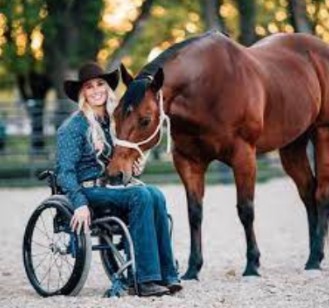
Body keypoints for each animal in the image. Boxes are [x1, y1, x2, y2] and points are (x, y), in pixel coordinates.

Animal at [109, 31, 328, 280]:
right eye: (115, 115)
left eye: (145, 120)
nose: (115, 173)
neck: (207, 88)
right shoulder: (188, 161)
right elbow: (194, 213)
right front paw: (192, 268)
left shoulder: (244, 156)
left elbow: (246, 209)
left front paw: (252, 264)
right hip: (292, 146)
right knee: (308, 193)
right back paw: (313, 256)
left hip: (322, 133)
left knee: (321, 193)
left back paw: (315, 257)